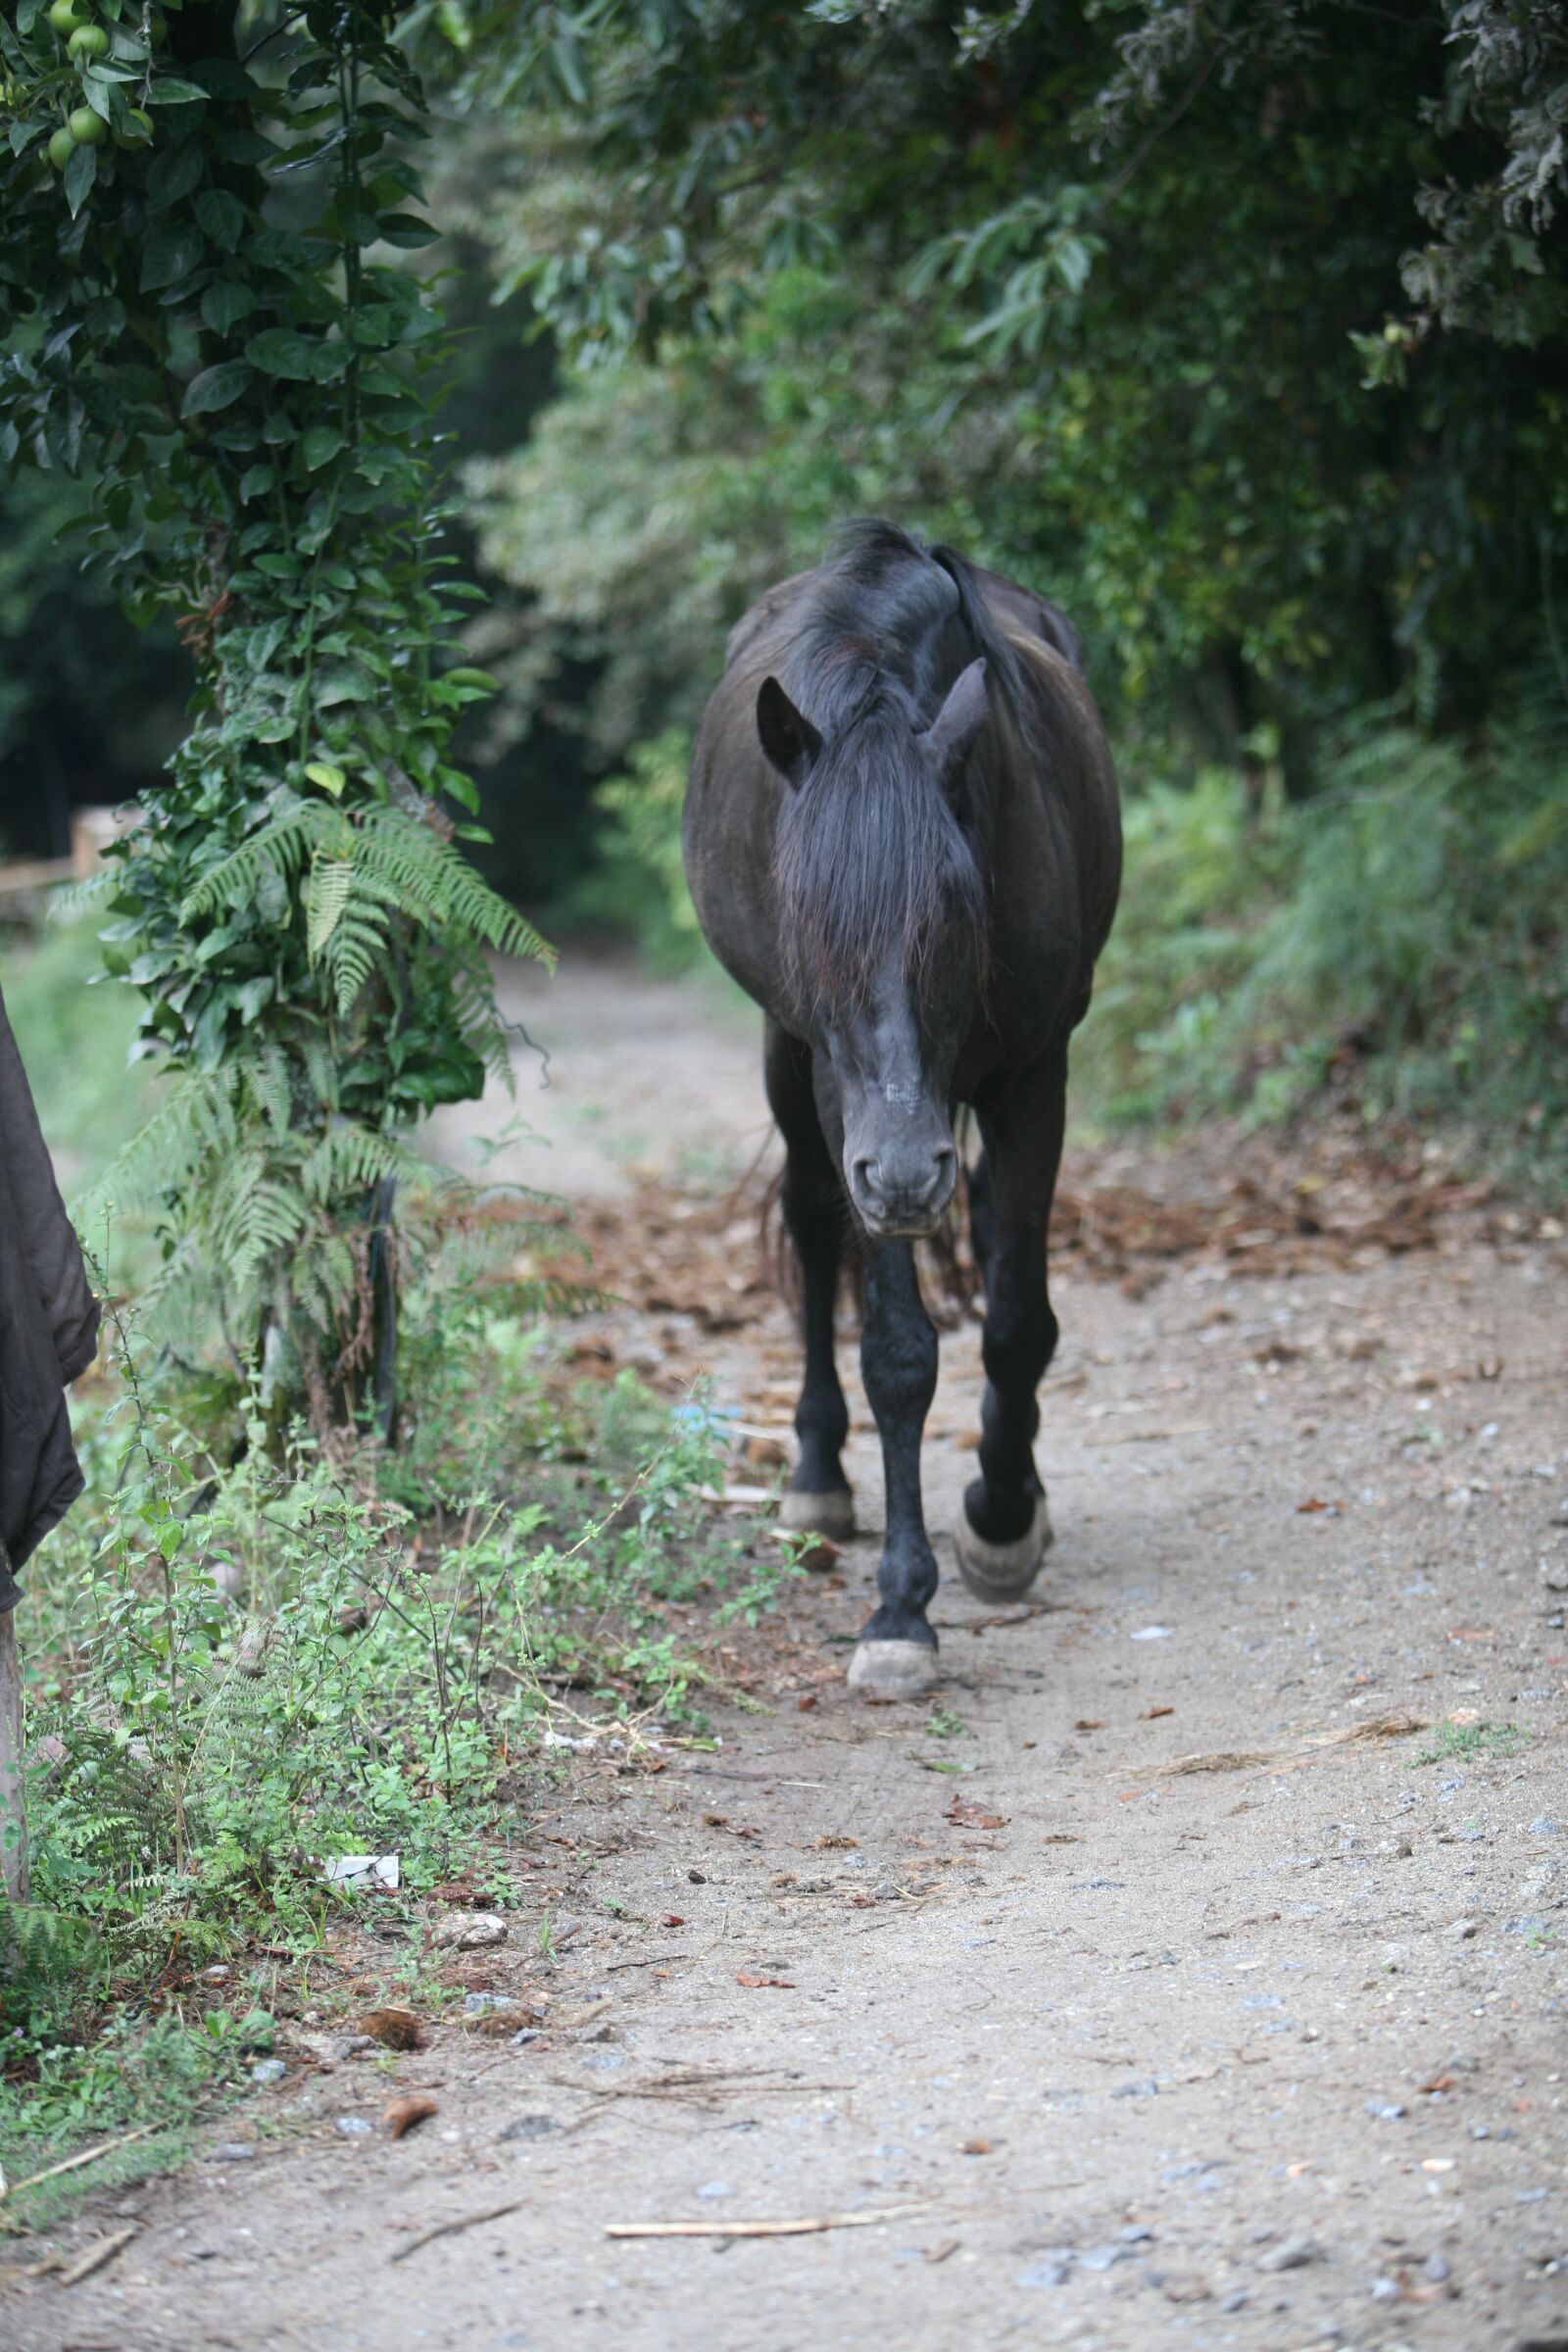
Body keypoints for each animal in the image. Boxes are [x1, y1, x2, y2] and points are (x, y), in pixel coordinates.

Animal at [683, 521, 1121, 1696]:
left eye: (957, 914)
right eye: (808, 920)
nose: (908, 1174)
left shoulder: (1036, 1071)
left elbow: (1015, 1321)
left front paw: (1001, 1521)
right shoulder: (844, 1104)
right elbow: (895, 1352)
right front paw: (897, 1611)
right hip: (792, 1076)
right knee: (810, 1224)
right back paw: (817, 1478)